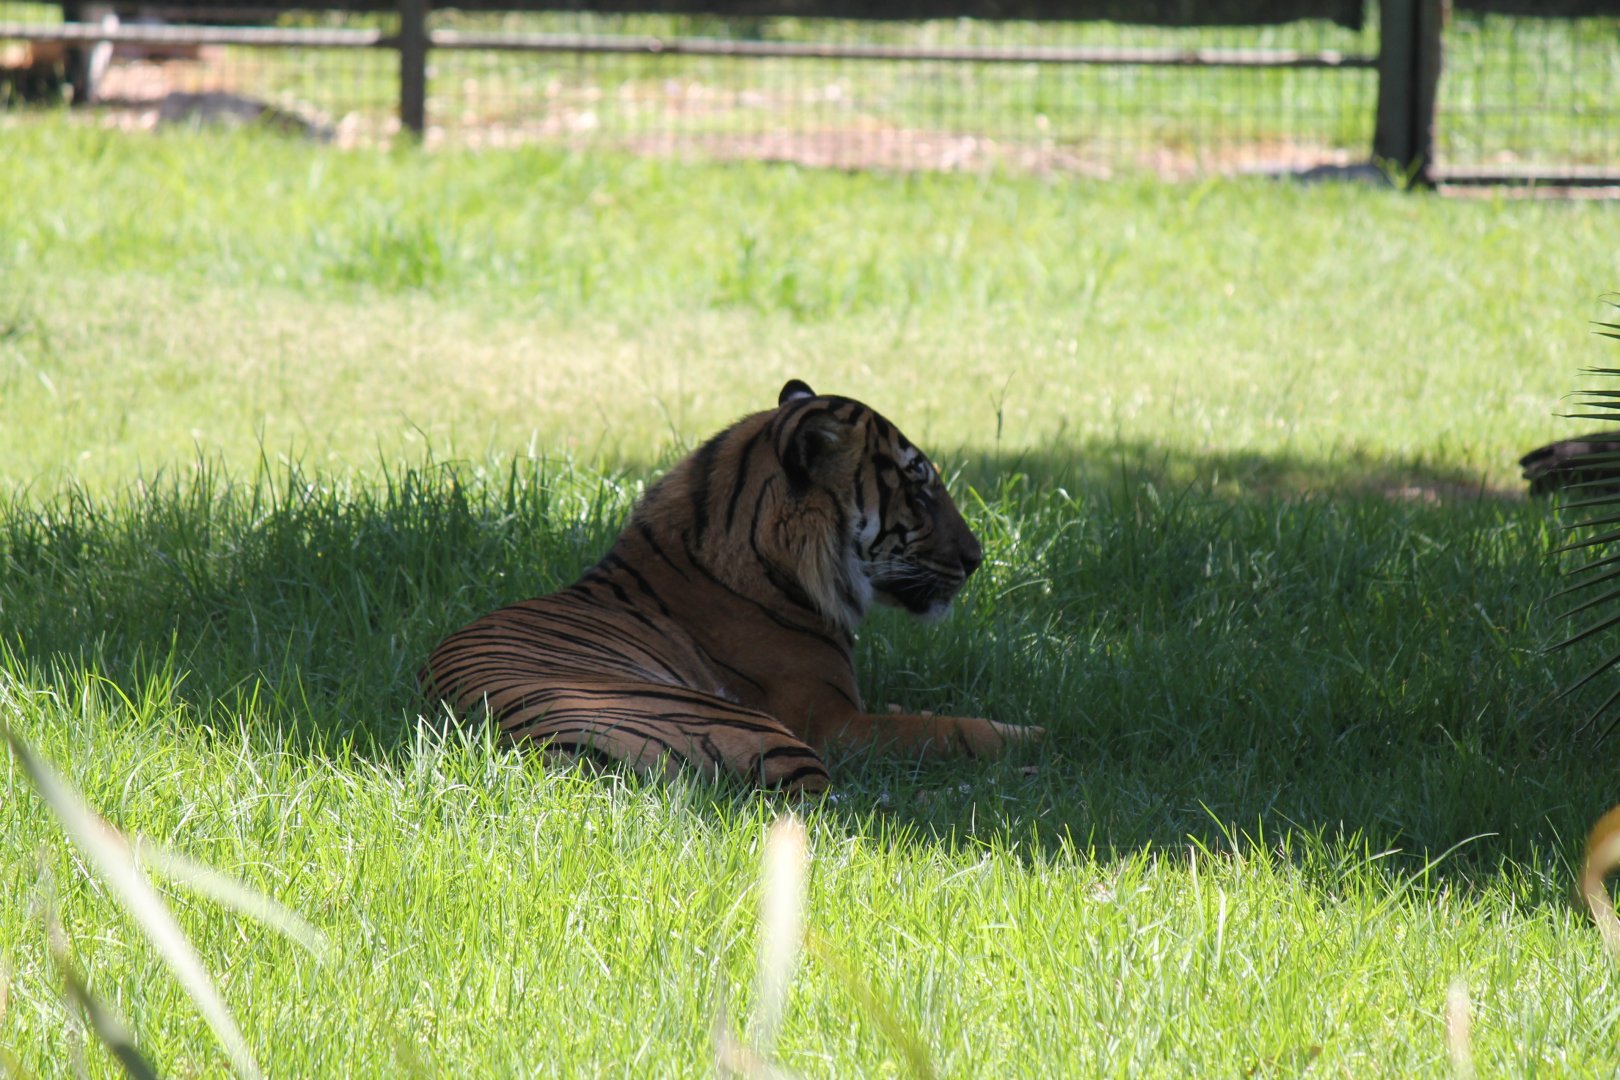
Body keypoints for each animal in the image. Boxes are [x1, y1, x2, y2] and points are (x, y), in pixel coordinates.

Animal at [419, 379, 1040, 793]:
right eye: (918, 488)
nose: (977, 558)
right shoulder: (834, 720)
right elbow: (952, 728)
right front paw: (1040, 734)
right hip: (763, 735)